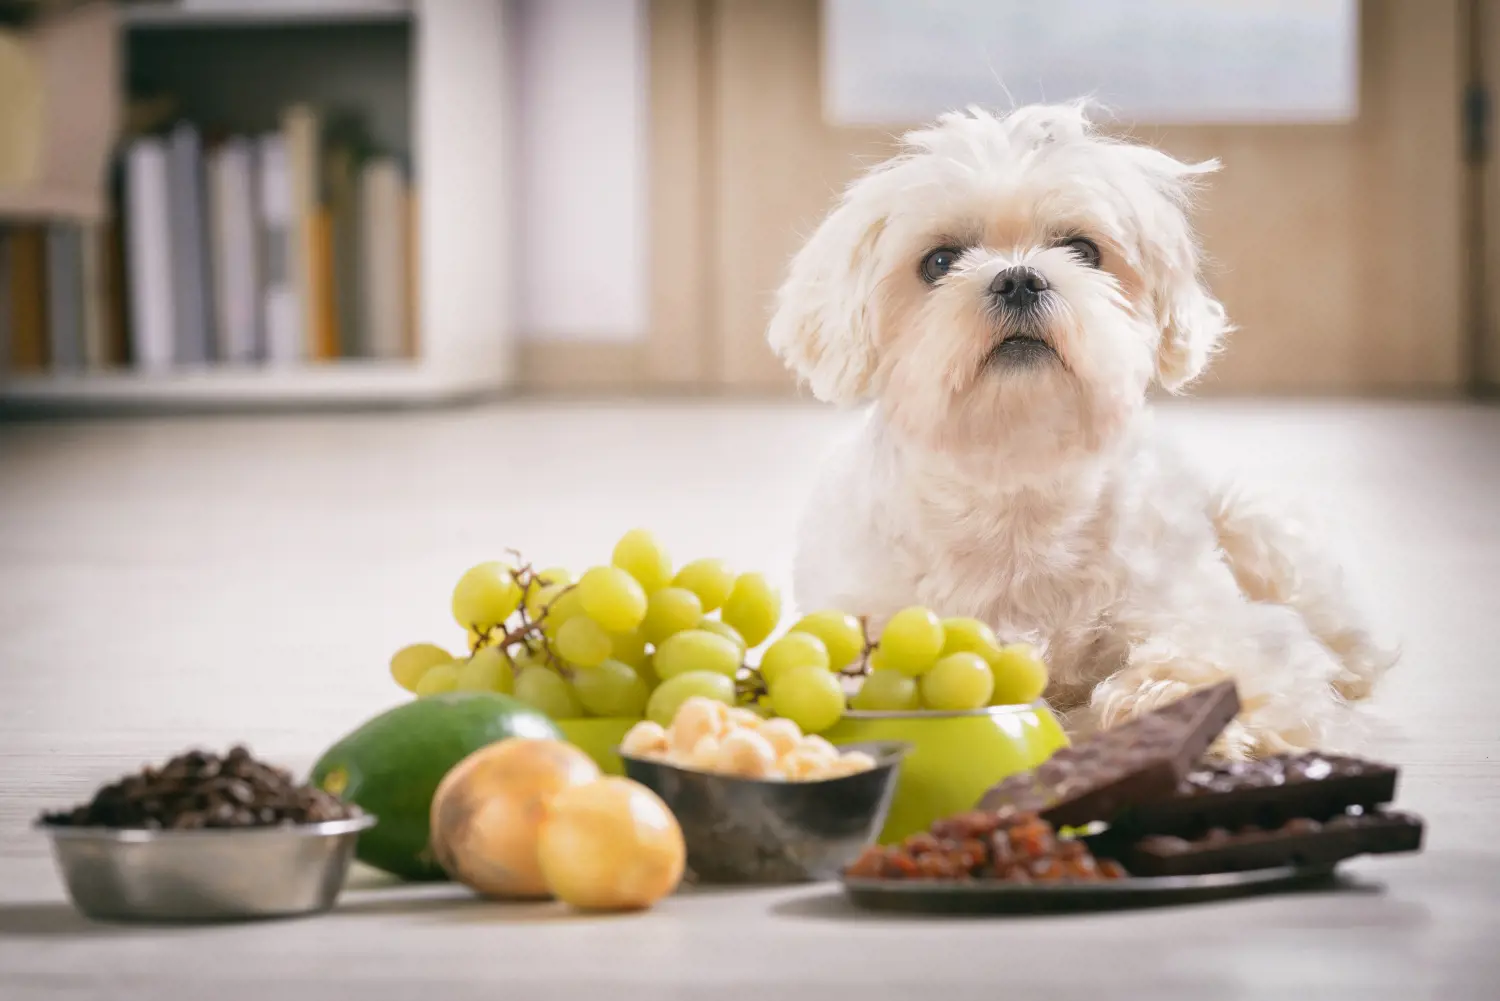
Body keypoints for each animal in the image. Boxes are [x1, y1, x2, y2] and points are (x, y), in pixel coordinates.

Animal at [774, 103, 1392, 759]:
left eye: (1082, 249)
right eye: (939, 261)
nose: (1018, 278)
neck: (1017, 482)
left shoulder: (1214, 619)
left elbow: (1216, 658)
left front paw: (1173, 707)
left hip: (1257, 527)